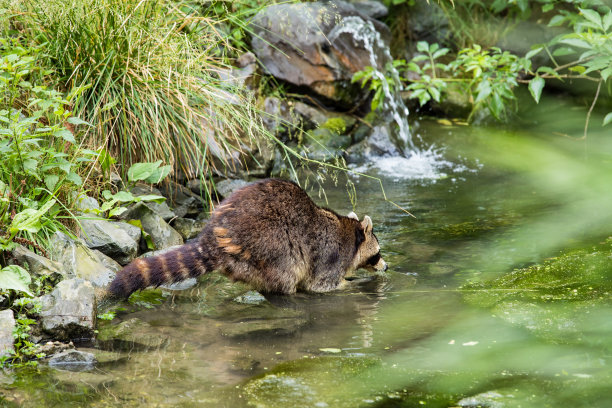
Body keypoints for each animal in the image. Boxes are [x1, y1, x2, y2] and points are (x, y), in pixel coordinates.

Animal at [108, 177, 388, 298]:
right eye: (377, 254)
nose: (386, 267)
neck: (350, 231)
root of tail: (214, 236)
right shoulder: (331, 255)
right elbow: (321, 285)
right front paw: (352, 284)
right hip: (270, 245)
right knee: (287, 273)